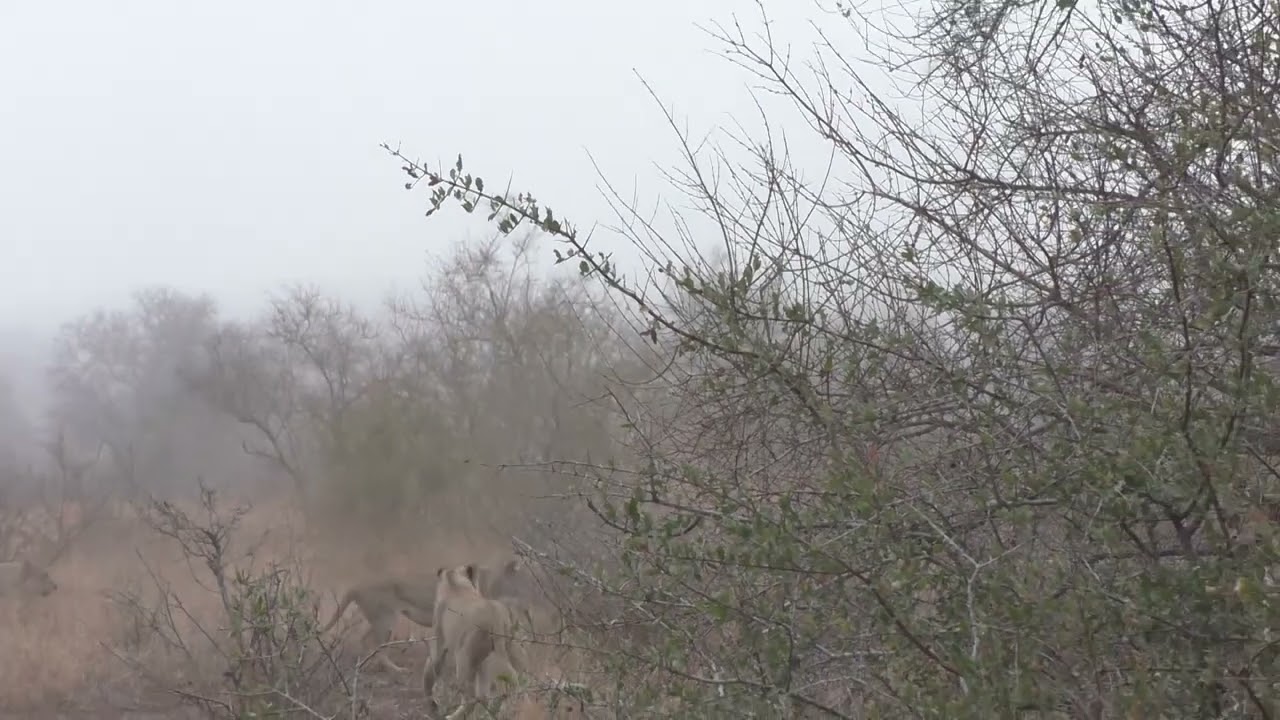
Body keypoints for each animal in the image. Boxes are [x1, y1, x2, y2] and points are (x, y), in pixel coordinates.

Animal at [322, 558, 530, 673]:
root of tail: (358, 585)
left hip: (377, 619)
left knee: (365, 639)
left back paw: (368, 664)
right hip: (386, 620)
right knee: (378, 646)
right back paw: (396, 669)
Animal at [422, 563, 528, 718]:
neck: (455, 582)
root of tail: (495, 615)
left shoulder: (438, 645)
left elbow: (430, 670)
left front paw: (432, 704)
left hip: (464, 657)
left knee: (471, 698)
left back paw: (452, 716)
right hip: (507, 650)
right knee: (507, 684)